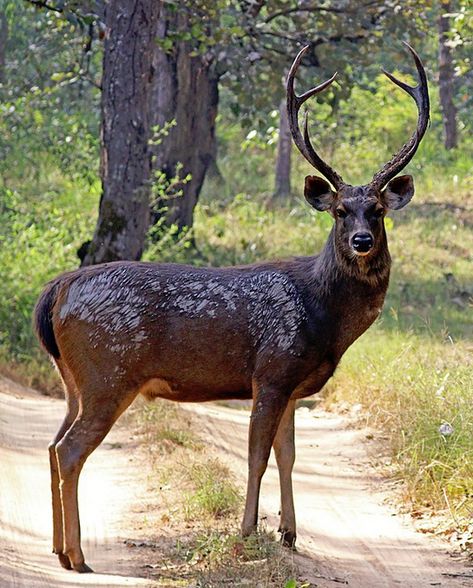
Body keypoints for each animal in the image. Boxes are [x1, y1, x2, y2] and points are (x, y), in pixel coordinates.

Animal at [35, 42, 428, 576]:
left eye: (379, 210)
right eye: (340, 210)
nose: (362, 241)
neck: (324, 318)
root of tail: (58, 288)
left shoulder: (294, 385)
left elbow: (288, 455)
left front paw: (289, 534)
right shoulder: (273, 370)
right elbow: (257, 455)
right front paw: (247, 532)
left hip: (73, 379)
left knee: (53, 445)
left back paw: (58, 549)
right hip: (107, 373)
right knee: (71, 450)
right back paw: (77, 556)